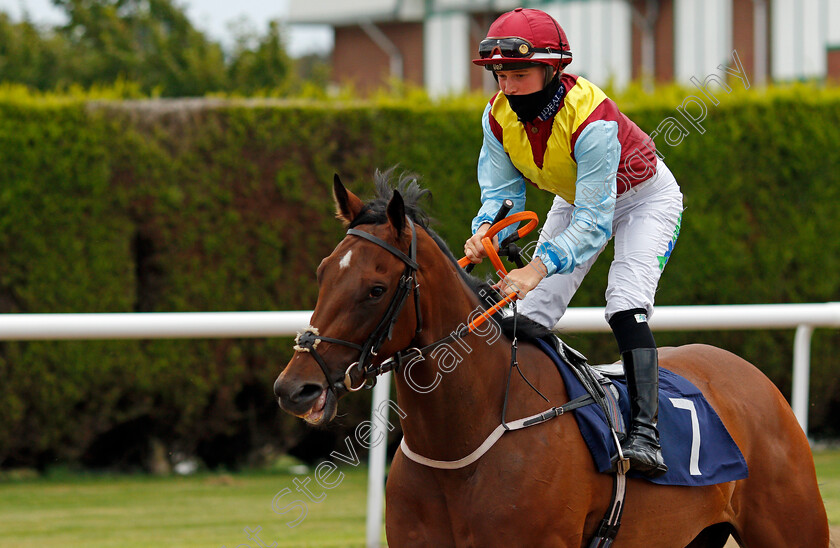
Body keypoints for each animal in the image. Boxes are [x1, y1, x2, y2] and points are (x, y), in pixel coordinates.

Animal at [274, 172, 828, 548]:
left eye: (375, 288)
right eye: (323, 272)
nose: (295, 388)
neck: (461, 445)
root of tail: (754, 378)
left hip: (793, 528)